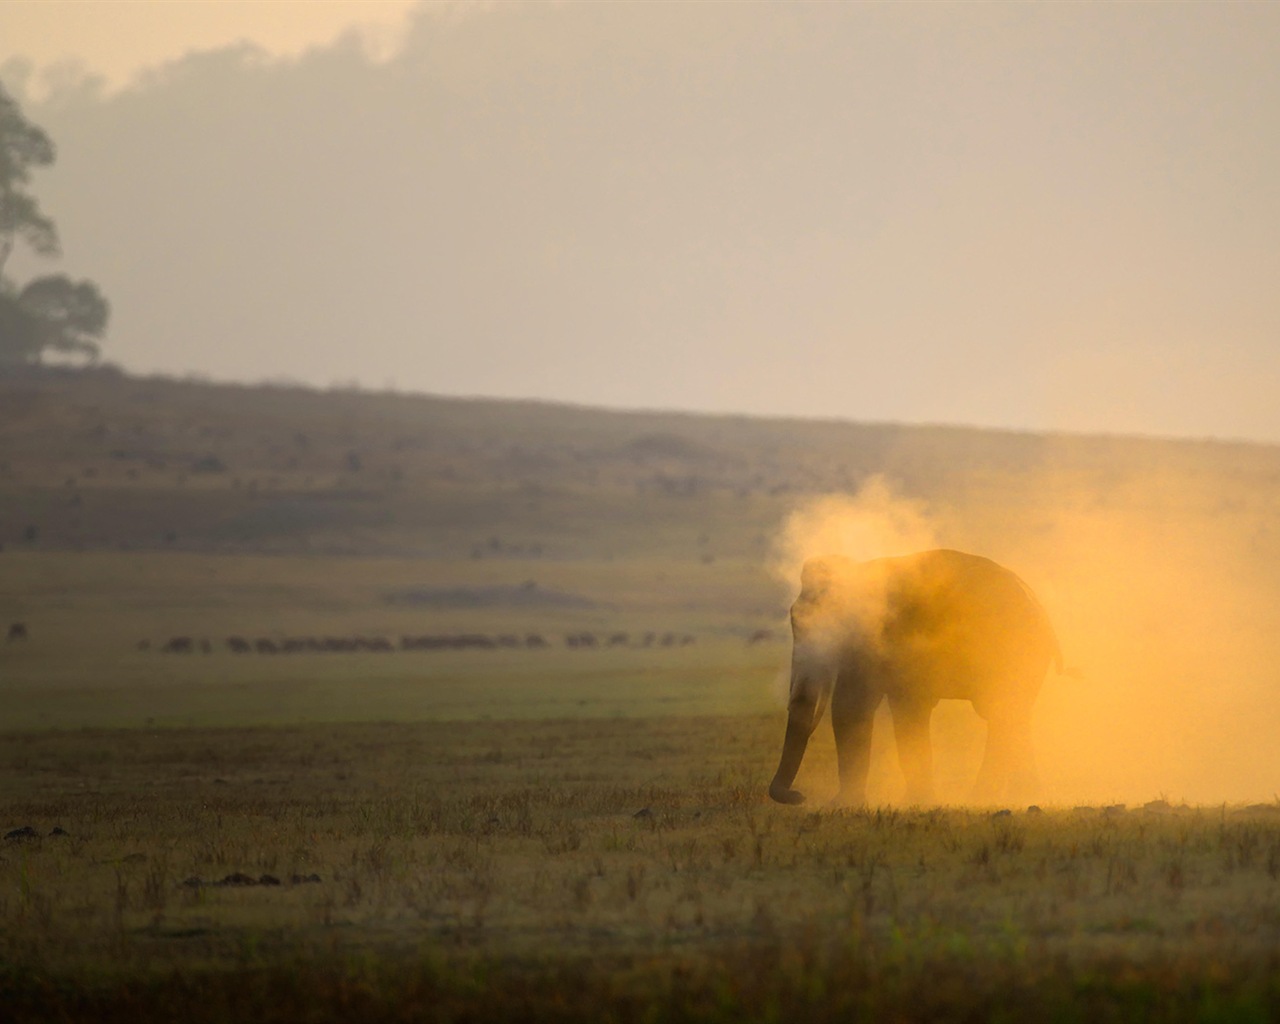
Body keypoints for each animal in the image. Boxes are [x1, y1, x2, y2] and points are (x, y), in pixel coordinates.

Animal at [768, 552, 1059, 808]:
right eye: (793, 620)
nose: (798, 796)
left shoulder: (879, 635)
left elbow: (856, 706)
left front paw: (845, 804)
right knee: (1011, 715)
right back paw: (1026, 797)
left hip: (1012, 651)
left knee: (1000, 712)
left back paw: (982, 799)